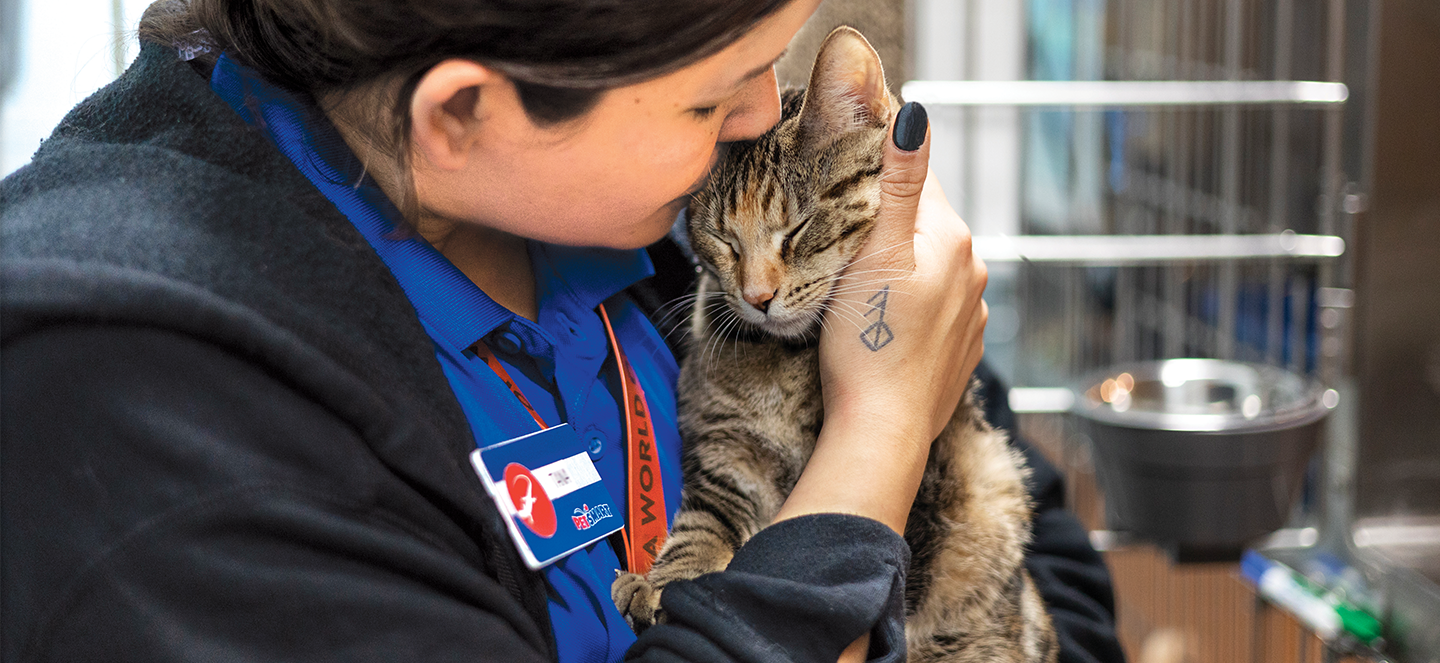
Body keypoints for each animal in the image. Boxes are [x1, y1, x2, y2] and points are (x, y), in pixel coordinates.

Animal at [607, 27, 1059, 663]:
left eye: (796, 230)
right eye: (723, 238)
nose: (758, 296)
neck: (788, 362)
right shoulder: (726, 454)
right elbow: (705, 521)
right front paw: (665, 579)